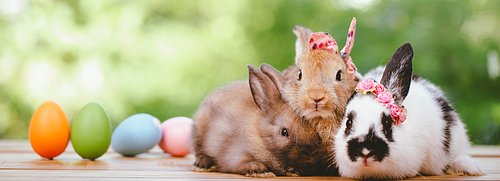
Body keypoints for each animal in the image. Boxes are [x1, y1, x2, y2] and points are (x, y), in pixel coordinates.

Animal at [189, 63, 322, 177]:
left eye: (314, 129)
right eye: (284, 132)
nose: (311, 153)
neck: (261, 135)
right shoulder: (234, 155)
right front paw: (258, 168)